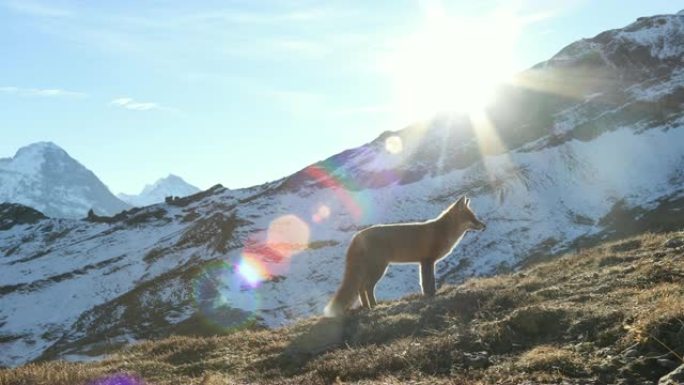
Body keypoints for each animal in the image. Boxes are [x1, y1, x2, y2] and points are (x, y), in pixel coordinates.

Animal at [324, 195, 484, 316]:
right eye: (471, 217)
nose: (484, 225)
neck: (442, 231)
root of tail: (356, 236)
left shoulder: (423, 262)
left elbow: (426, 282)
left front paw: (429, 296)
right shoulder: (427, 261)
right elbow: (428, 282)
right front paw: (431, 296)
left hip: (371, 269)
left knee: (360, 288)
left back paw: (366, 307)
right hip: (379, 269)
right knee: (367, 287)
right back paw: (374, 306)